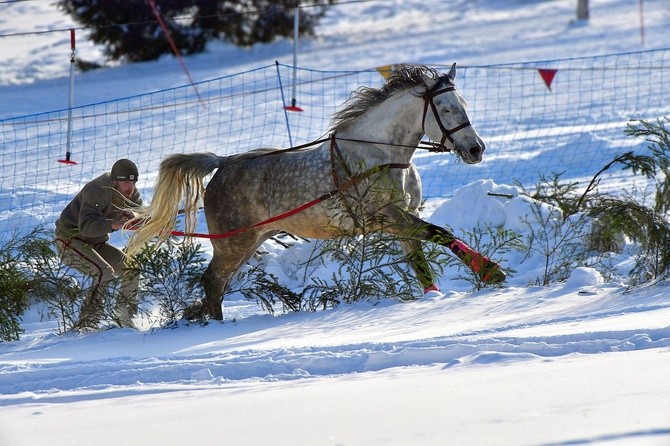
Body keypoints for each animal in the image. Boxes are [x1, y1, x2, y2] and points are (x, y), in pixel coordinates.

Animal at [126, 63, 506, 320]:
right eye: (445, 108)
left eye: (464, 105)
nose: (476, 149)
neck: (381, 155)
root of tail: (223, 164)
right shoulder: (385, 216)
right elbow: (440, 233)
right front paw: (491, 271)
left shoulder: (403, 218)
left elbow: (420, 261)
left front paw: (436, 299)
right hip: (234, 244)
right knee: (212, 283)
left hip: (250, 242)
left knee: (214, 286)